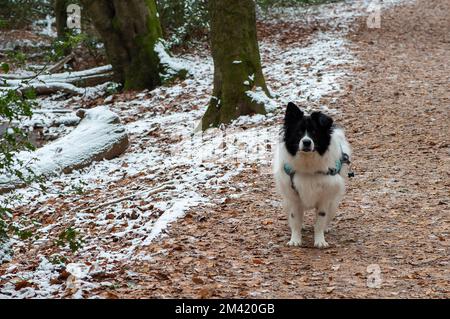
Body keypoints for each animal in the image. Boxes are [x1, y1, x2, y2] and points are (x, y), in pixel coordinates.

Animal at [272, 104, 354, 249]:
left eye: (314, 132)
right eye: (299, 132)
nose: (306, 142)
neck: (308, 163)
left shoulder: (324, 198)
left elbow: (320, 221)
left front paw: (320, 240)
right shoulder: (294, 197)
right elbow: (295, 220)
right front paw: (295, 240)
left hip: (334, 201)